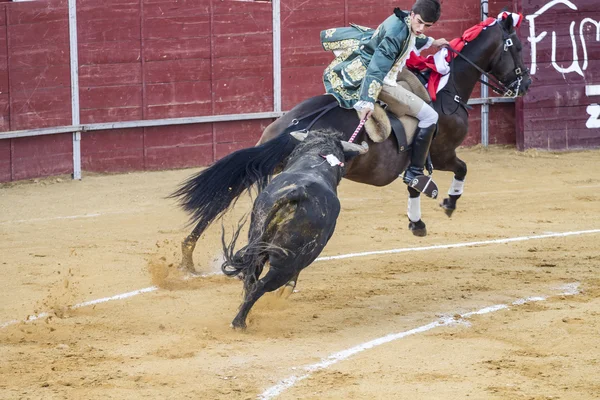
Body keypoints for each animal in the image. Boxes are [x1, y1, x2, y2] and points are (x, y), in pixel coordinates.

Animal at [220, 130, 366, 330]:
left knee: (251, 278)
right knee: (262, 285)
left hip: (258, 239)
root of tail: (297, 193)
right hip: (289, 261)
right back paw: (239, 323)